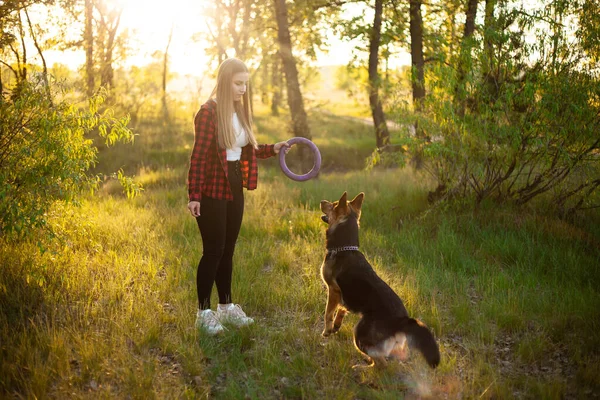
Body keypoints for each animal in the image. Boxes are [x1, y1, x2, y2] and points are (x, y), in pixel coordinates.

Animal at [318, 191, 440, 368]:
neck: (344, 248)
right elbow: (341, 310)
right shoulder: (344, 298)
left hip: (360, 333)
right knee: (382, 359)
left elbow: (328, 312)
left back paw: (362, 368)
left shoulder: (333, 290)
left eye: (333, 205)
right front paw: (336, 326)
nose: (321, 201)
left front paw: (326, 331)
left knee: (382, 365)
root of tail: (402, 321)